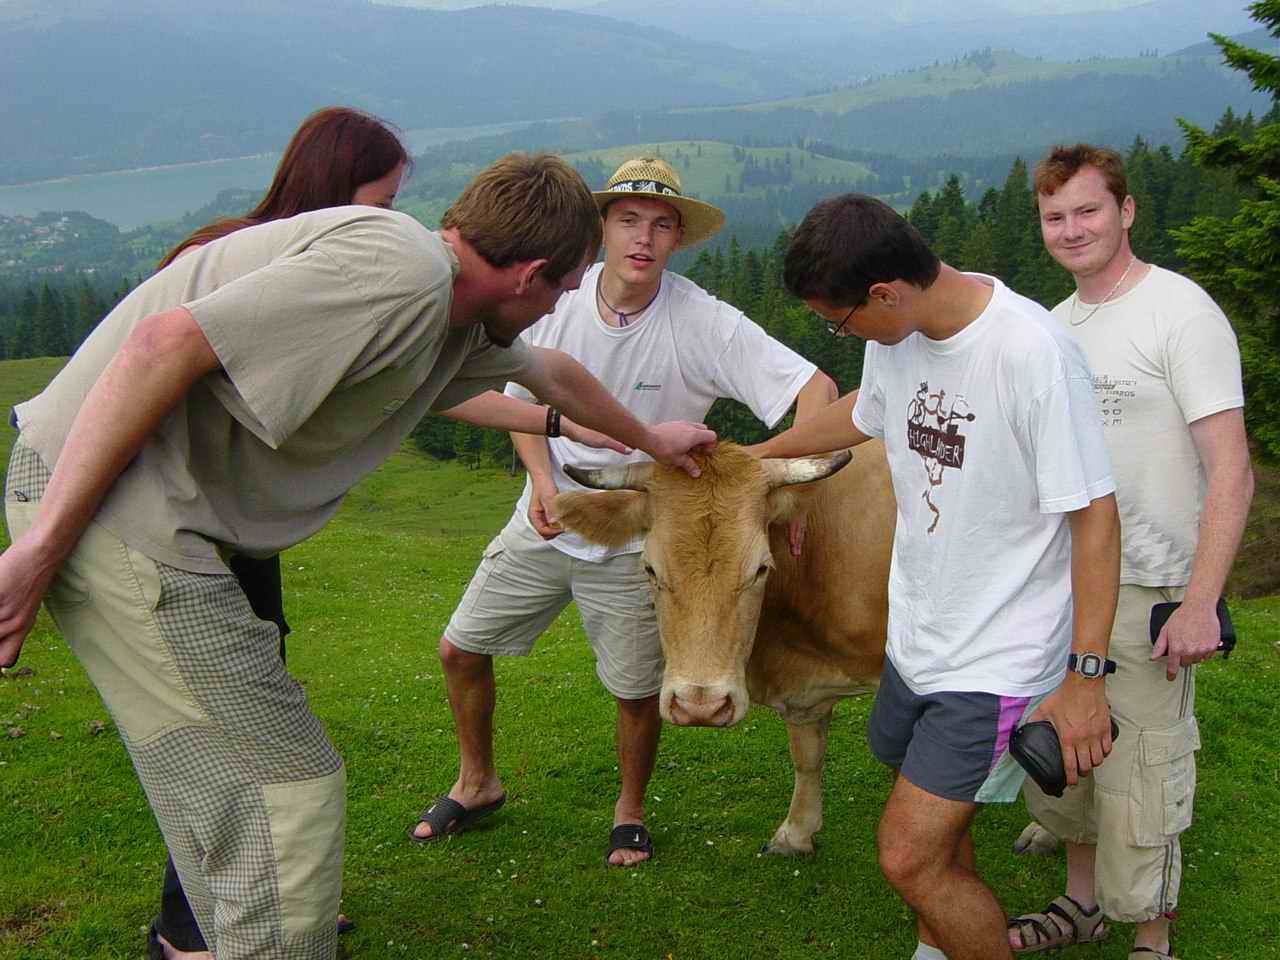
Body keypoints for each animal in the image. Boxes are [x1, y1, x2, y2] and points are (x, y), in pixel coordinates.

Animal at [550, 441, 895, 855]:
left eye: (761, 569)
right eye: (649, 568)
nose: (700, 706)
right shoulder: (805, 692)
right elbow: (807, 755)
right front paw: (796, 833)